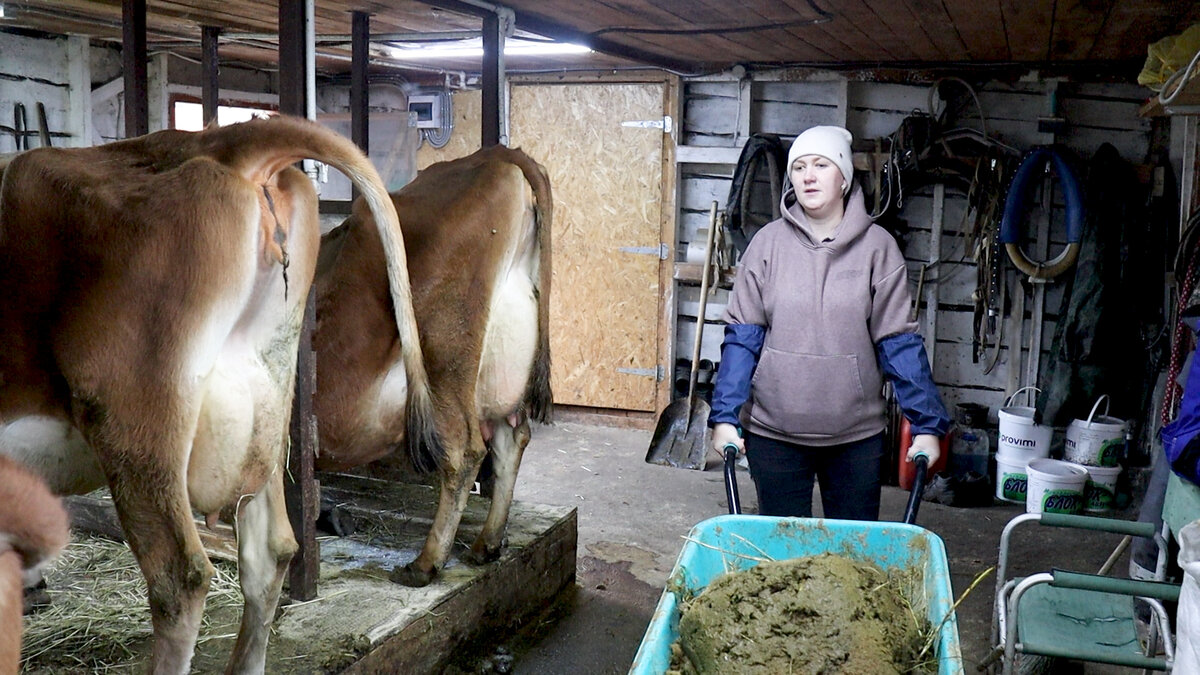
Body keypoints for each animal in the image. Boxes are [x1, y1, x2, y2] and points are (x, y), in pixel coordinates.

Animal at [312, 145, 549, 583]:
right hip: (498, 369)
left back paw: (426, 563)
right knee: (511, 439)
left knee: (464, 452)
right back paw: (487, 544)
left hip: (444, 359)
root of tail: (497, 154)